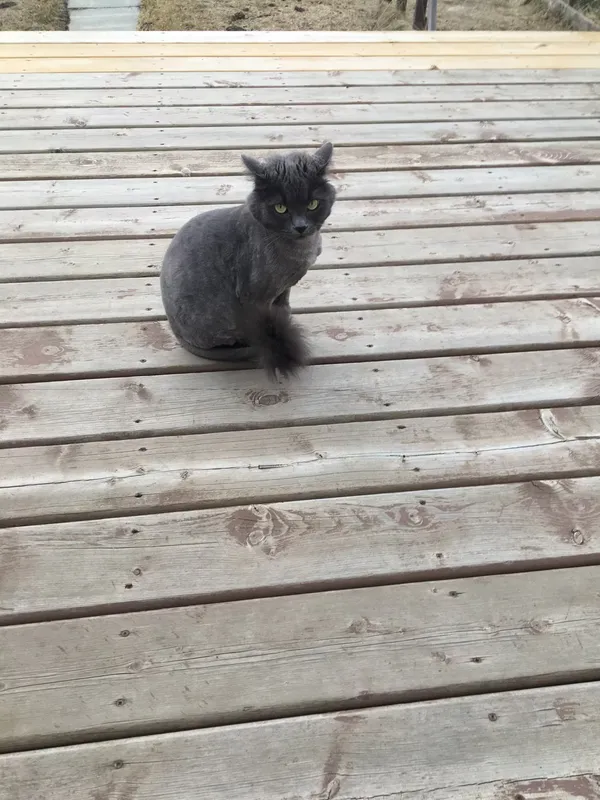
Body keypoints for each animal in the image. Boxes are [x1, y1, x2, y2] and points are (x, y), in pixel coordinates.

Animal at [159, 143, 336, 378]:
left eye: (313, 204)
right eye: (281, 208)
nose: (300, 226)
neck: (300, 249)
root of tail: (177, 333)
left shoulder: (284, 288)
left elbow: (283, 305)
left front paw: (285, 318)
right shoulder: (254, 295)